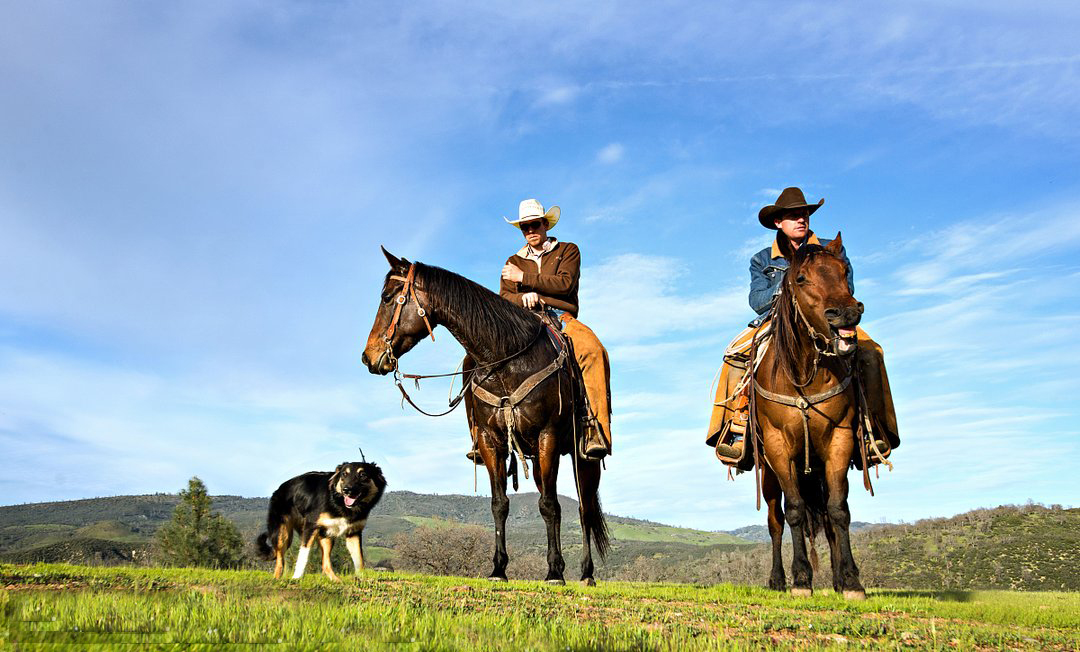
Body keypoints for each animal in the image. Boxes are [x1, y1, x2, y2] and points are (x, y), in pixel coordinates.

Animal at [254, 457, 386, 578]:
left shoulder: (353, 532)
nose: (346, 490)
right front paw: (296, 578)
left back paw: (336, 580)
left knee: (325, 564)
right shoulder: (310, 527)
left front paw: (362, 579)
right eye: (344, 474)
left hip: (326, 535)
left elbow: (359, 561)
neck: (337, 502)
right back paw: (276, 579)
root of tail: (279, 489)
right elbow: (303, 557)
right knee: (279, 562)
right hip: (282, 534)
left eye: (363, 475)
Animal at [362, 248, 613, 587]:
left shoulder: (546, 436)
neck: (506, 359)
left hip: (581, 457)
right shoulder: (490, 441)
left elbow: (549, 505)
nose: (368, 357)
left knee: (584, 508)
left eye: (387, 298)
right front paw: (498, 569)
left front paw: (554, 572)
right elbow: (500, 504)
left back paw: (586, 573)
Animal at [751, 234, 868, 600]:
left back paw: (836, 580)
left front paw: (851, 580)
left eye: (845, 271)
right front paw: (801, 579)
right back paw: (778, 580)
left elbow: (838, 511)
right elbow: (795, 511)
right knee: (776, 521)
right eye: (801, 279)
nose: (846, 313)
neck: (804, 374)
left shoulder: (840, 440)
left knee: (828, 518)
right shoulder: (778, 447)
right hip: (769, 474)